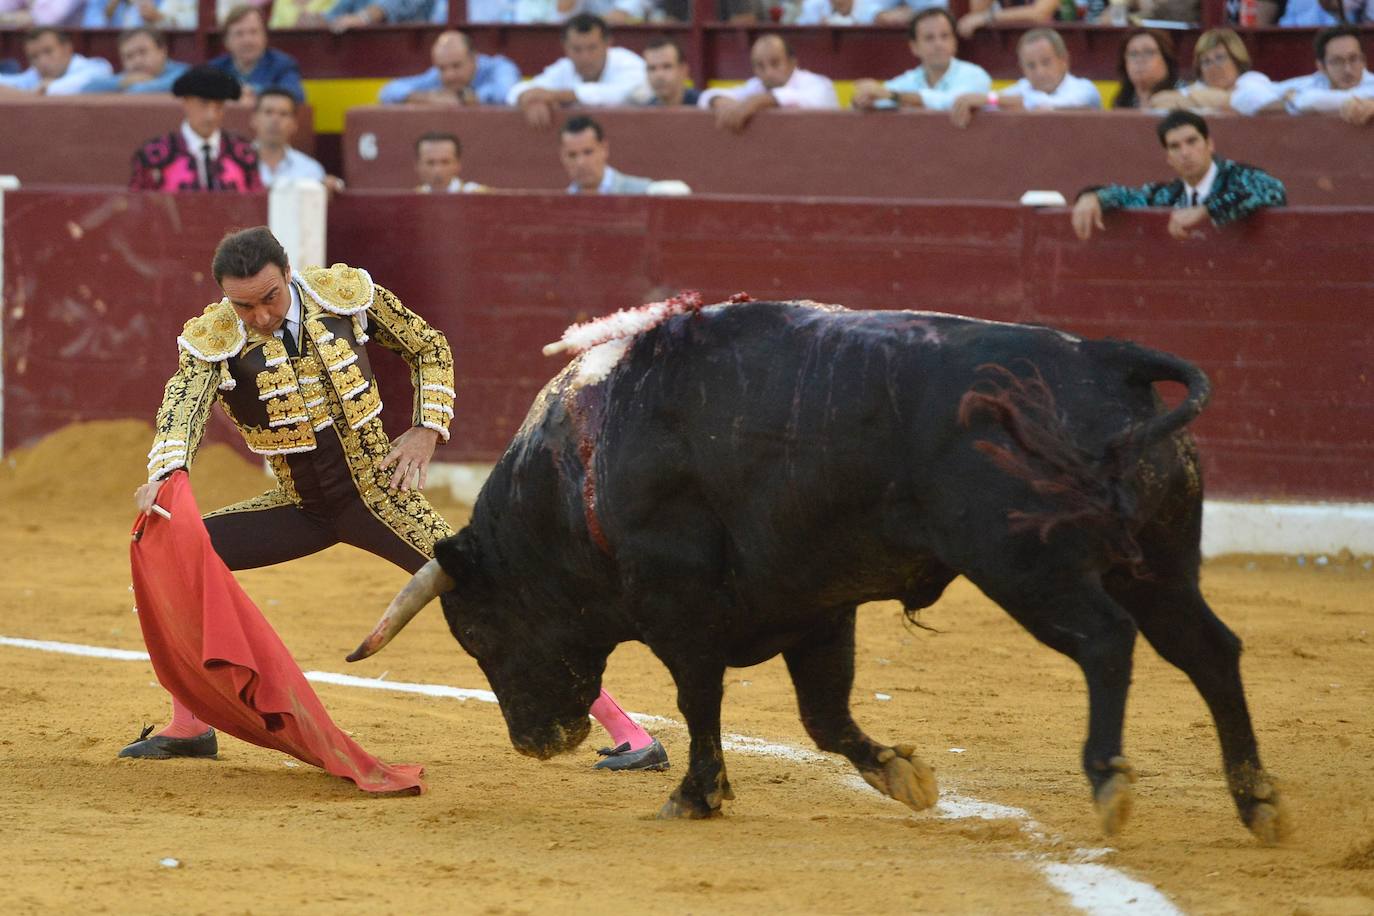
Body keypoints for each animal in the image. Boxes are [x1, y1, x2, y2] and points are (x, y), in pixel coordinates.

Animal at [346, 302, 1286, 845]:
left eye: (477, 632)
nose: (535, 743)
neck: (584, 464)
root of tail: (1103, 361)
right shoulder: (816, 610)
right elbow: (826, 718)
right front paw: (906, 775)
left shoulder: (678, 611)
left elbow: (701, 700)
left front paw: (696, 796)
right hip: (1159, 561)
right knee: (1211, 650)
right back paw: (1259, 802)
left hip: (1027, 565)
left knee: (1106, 642)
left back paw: (1110, 782)